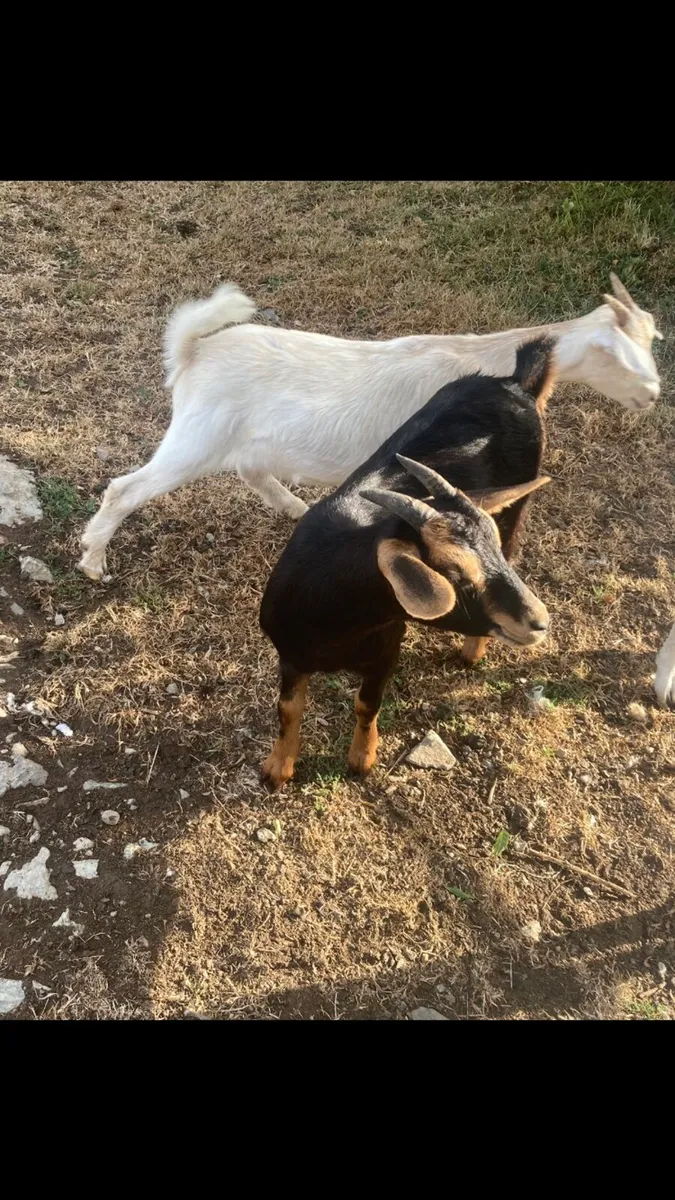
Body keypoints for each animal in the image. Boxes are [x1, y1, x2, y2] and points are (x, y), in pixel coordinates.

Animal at [78, 276, 661, 581]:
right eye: (619, 357)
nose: (654, 394)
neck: (490, 362)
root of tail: (193, 349)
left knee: (251, 470)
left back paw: (294, 507)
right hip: (197, 437)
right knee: (125, 488)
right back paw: (93, 560)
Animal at [259, 337, 556, 790]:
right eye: (453, 573)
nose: (539, 621)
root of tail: (517, 382)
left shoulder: (386, 648)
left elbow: (366, 704)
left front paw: (361, 759)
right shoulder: (290, 652)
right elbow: (287, 709)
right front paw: (278, 768)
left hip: (516, 510)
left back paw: (472, 653)